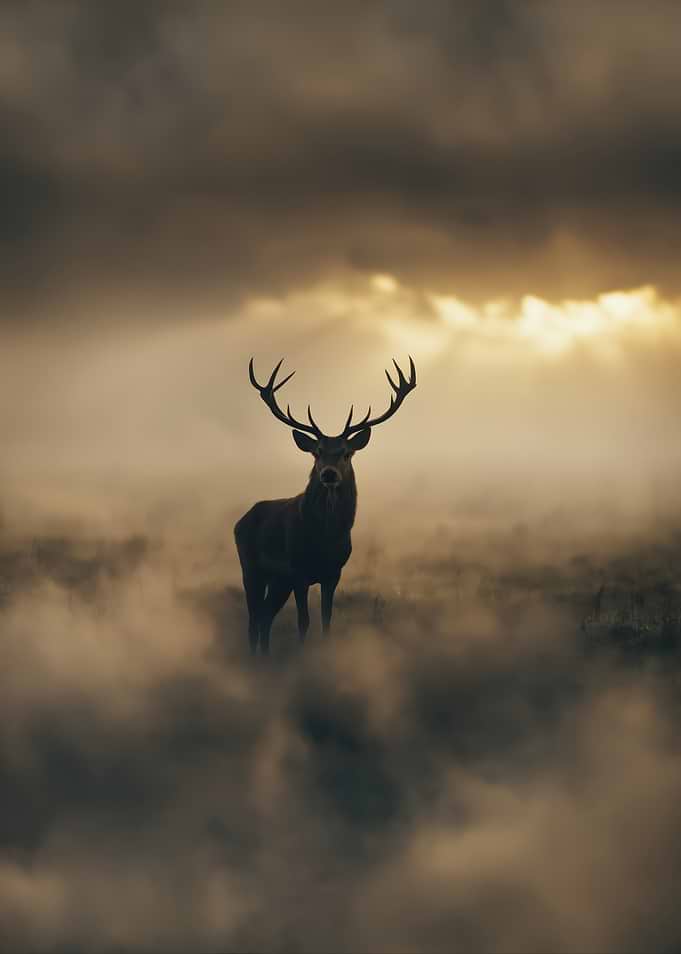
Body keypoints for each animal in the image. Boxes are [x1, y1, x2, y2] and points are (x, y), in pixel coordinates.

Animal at [234, 356, 417, 655]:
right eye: (317, 452)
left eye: (346, 453)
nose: (329, 474)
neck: (325, 539)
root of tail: (242, 519)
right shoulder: (298, 571)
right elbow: (303, 622)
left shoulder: (334, 573)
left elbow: (326, 621)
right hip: (251, 567)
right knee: (253, 618)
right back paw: (254, 657)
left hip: (278, 580)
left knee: (265, 616)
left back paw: (265, 656)